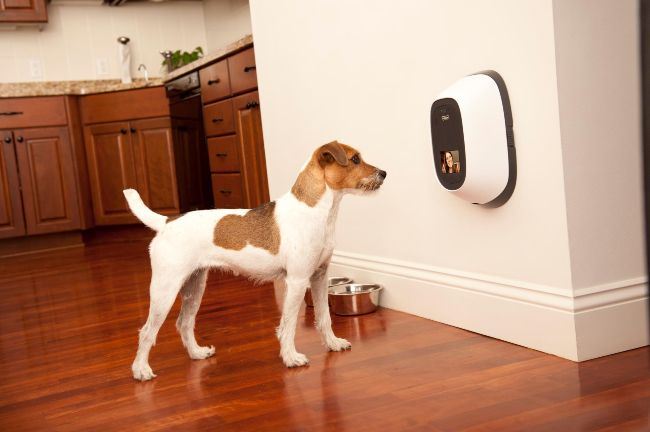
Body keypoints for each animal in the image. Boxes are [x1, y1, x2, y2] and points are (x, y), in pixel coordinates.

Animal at [123, 140, 384, 380]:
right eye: (355, 159)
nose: (384, 173)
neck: (315, 211)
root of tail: (167, 222)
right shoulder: (298, 281)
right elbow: (288, 324)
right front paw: (290, 357)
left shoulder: (319, 276)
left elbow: (324, 317)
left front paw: (332, 343)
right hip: (164, 290)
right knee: (147, 331)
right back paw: (141, 370)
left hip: (194, 286)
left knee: (184, 322)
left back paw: (196, 353)